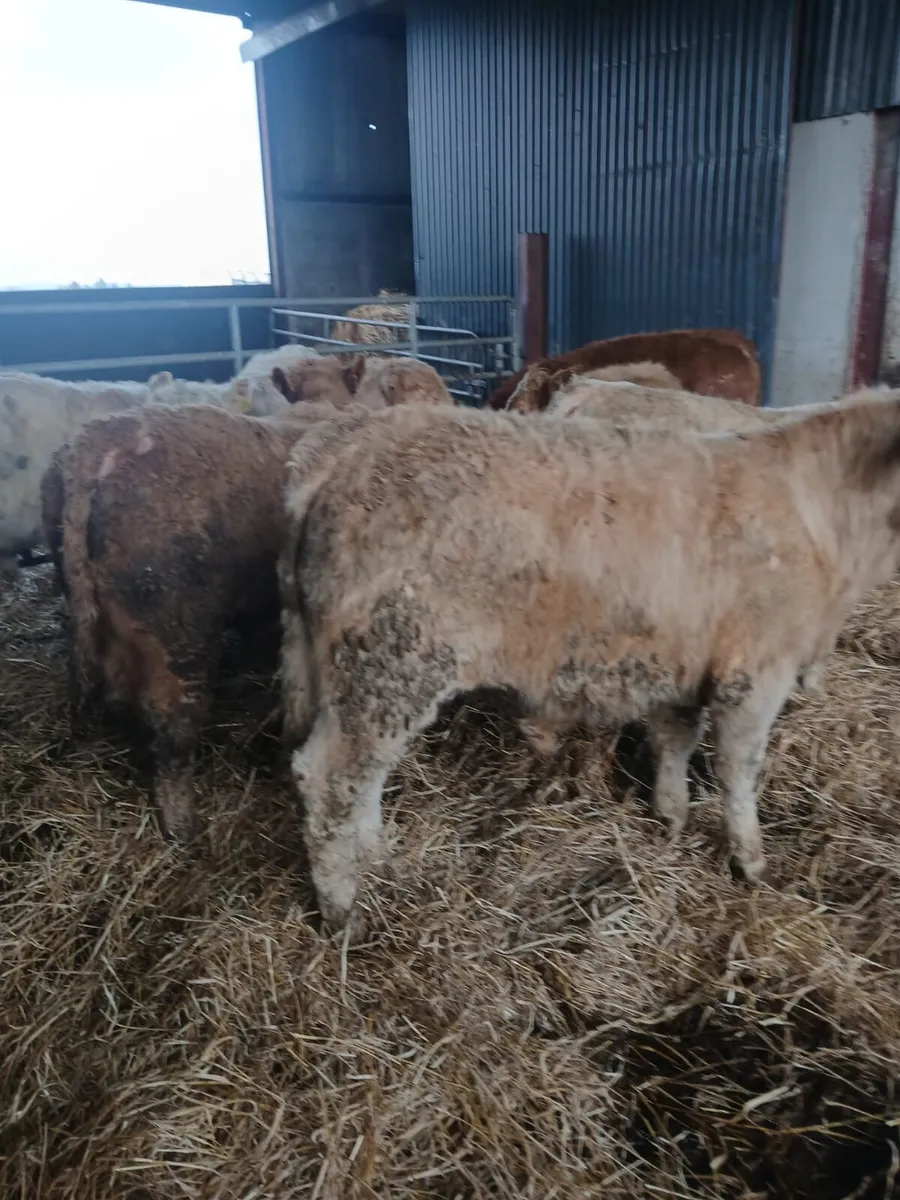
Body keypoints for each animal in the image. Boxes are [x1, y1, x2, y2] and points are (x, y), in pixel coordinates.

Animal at [279, 390, 900, 933]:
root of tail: (354, 442)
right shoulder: (755, 674)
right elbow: (738, 770)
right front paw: (749, 861)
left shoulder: (680, 663)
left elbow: (675, 742)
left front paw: (670, 819)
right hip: (388, 668)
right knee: (332, 782)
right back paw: (344, 914)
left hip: (375, 679)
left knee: (365, 780)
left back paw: (379, 860)